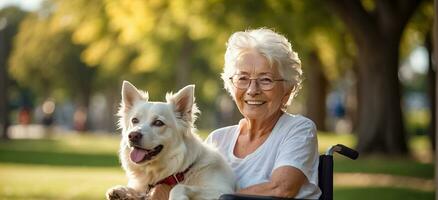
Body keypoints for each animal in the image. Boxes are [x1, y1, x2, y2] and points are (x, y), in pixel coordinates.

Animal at [106, 80, 236, 199]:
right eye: (134, 120)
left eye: (158, 123)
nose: (133, 135)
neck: (179, 171)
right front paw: (121, 191)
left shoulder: (220, 190)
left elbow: (179, 187)